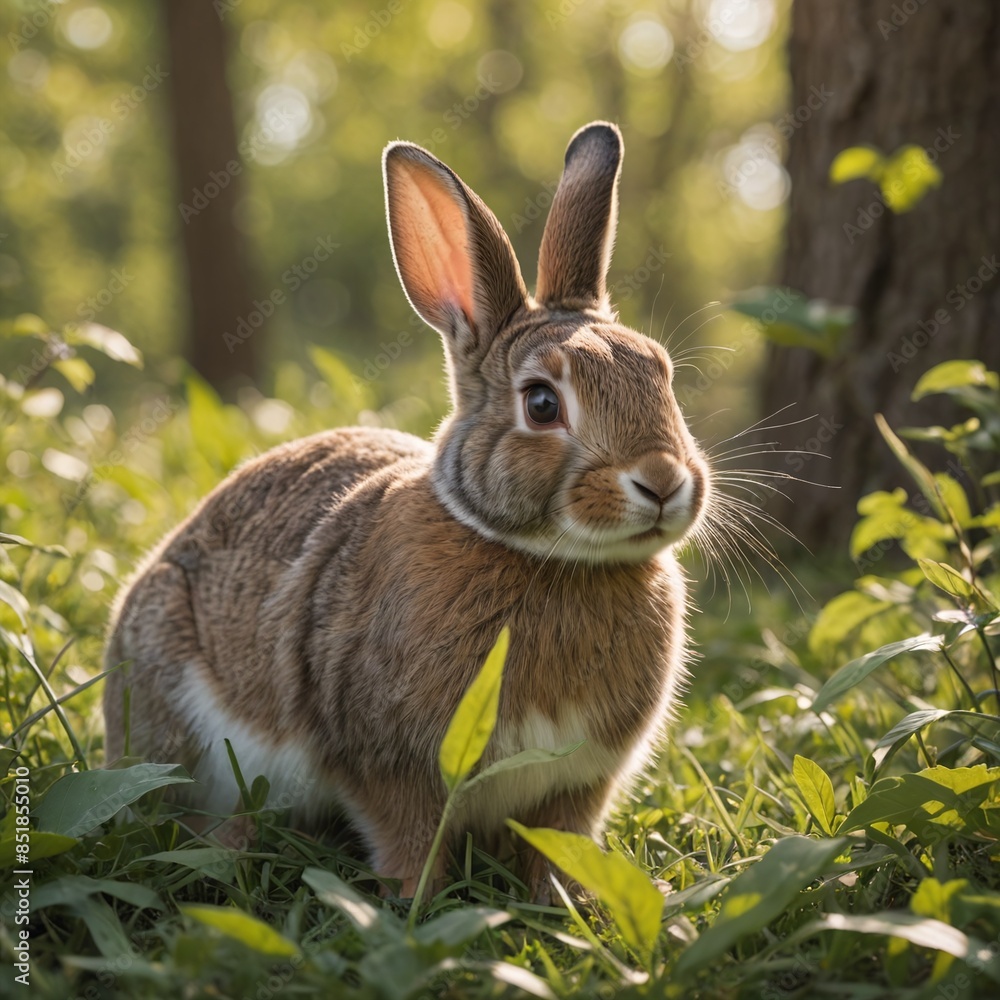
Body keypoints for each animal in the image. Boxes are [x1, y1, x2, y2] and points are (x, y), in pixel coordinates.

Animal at [103, 121, 711, 900]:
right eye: (543, 403)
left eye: (661, 373)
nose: (662, 481)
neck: (547, 556)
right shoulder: (389, 764)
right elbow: (409, 839)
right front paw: (412, 902)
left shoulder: (576, 783)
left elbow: (558, 846)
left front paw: (571, 903)